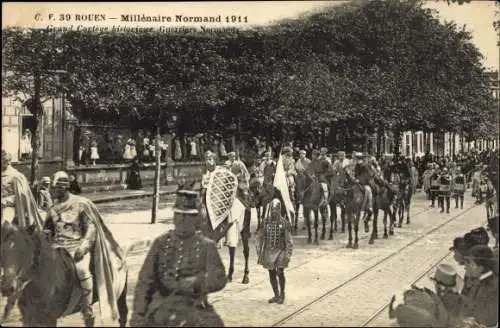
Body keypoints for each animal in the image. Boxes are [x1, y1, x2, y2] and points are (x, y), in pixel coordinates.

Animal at [0, 222, 129, 326]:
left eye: (23, 252)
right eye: (2, 252)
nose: (7, 287)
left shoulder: (49, 319)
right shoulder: (28, 318)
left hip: (119, 295)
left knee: (122, 316)